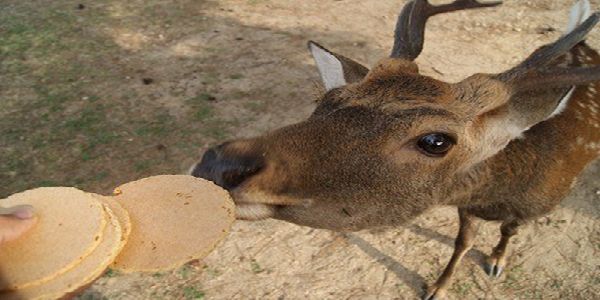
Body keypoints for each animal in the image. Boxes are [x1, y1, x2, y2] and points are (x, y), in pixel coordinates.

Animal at [190, 0, 600, 298]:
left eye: (435, 141)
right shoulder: (465, 206)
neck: (500, 193)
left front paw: (495, 262)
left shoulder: (539, 205)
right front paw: (437, 287)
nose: (219, 164)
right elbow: (463, 240)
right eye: (325, 99)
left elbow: (509, 232)